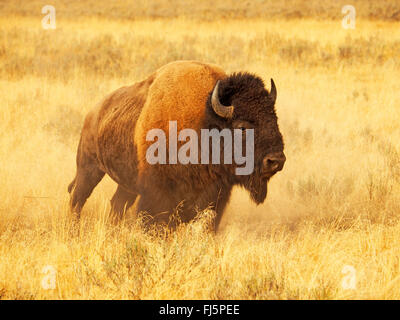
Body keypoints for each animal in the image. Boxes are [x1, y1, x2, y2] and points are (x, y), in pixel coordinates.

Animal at [69, 60, 288, 230]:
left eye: (274, 119)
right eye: (242, 127)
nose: (276, 161)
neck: (204, 122)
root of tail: (93, 113)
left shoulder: (215, 197)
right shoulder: (157, 195)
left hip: (126, 184)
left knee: (117, 204)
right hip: (89, 168)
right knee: (77, 198)